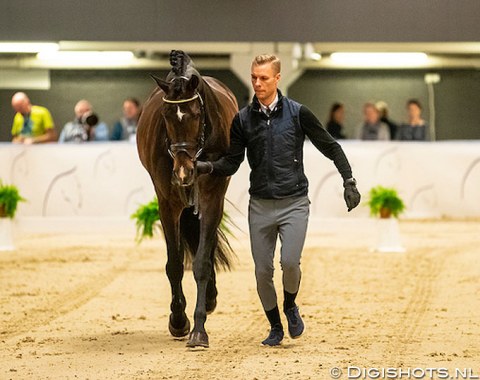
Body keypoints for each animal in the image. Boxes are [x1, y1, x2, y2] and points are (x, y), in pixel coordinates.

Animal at [136, 50, 237, 348]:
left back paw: (211, 297)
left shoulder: (212, 197)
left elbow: (202, 262)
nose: (183, 171)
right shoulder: (168, 204)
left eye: (196, 114)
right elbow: (175, 264)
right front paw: (179, 321)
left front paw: (199, 329)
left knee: (209, 245)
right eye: (166, 115)